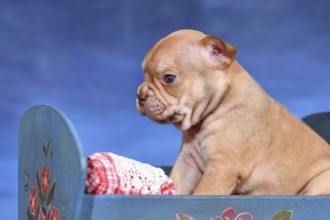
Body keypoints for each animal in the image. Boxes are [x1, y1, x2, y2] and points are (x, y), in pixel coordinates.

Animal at [136, 29, 330, 196]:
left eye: (169, 78)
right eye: (144, 74)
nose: (140, 95)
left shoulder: (221, 169)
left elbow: (202, 192)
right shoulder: (187, 162)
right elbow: (176, 185)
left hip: (319, 183)